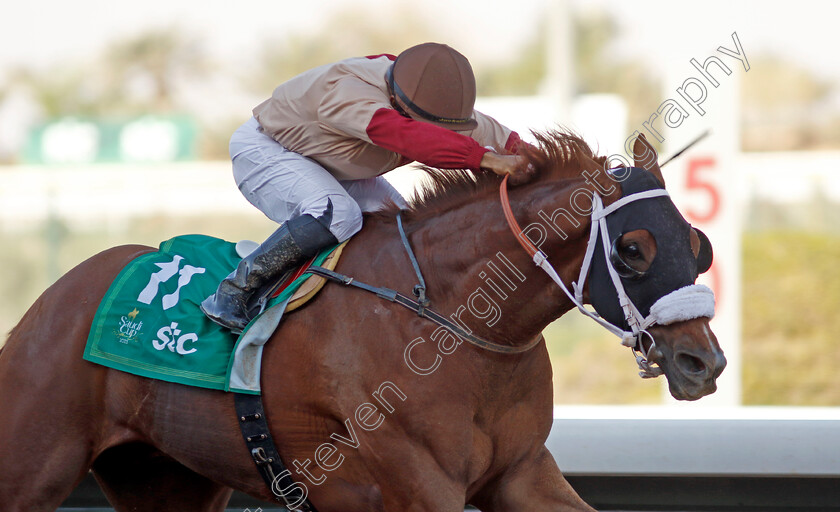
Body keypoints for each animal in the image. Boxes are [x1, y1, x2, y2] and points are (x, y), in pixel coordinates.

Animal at [0, 130, 720, 510]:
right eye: (633, 249)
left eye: (698, 244)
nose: (703, 362)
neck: (453, 319)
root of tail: (51, 299)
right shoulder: (421, 482)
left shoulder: (521, 473)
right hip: (34, 460)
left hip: (166, 477)